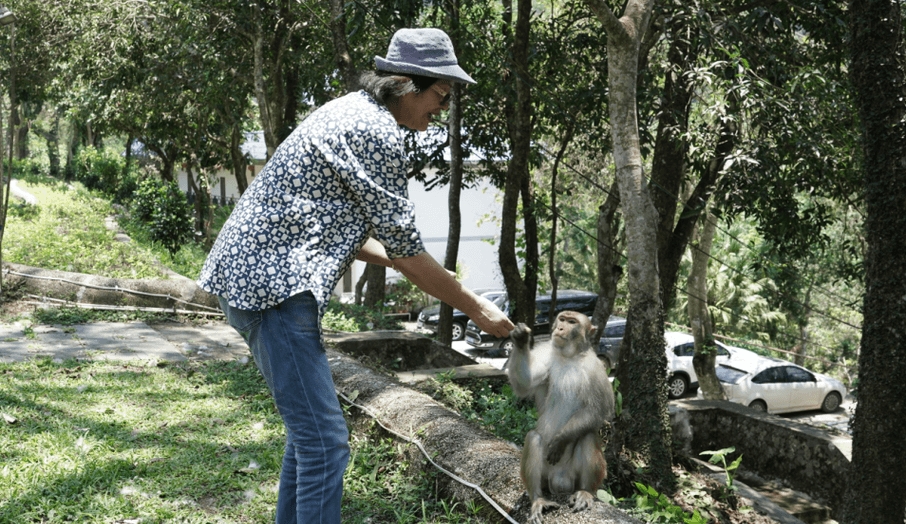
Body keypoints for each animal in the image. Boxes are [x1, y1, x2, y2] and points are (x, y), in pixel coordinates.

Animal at [508, 312, 616, 524]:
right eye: (563, 319)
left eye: (572, 322)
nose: (559, 328)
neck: (570, 356)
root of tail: (560, 482)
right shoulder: (546, 352)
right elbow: (526, 383)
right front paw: (521, 338)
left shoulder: (597, 368)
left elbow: (600, 409)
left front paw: (561, 439)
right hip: (546, 476)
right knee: (533, 437)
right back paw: (538, 499)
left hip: (574, 478)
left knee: (588, 436)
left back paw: (585, 492)